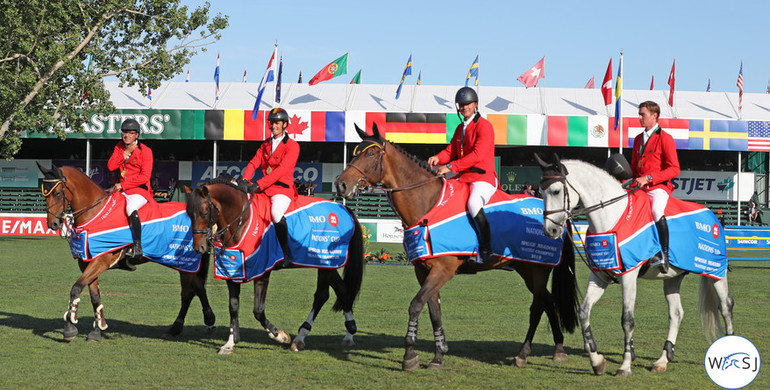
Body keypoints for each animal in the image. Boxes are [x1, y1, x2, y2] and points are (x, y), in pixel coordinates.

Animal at [36, 163, 213, 342]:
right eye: (44, 193)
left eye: (58, 193)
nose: (52, 224)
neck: (96, 213)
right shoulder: (87, 264)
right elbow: (95, 297)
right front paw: (97, 331)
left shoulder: (100, 262)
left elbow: (76, 288)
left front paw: (69, 328)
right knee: (193, 289)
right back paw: (183, 326)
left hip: (186, 262)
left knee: (192, 290)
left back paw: (203, 320)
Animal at [186, 178, 366, 354]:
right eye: (188, 214)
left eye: (204, 213)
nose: (199, 247)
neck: (243, 220)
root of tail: (344, 208)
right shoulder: (232, 271)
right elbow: (233, 307)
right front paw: (230, 343)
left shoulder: (262, 273)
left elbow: (258, 311)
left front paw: (280, 335)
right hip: (325, 265)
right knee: (339, 291)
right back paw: (339, 333)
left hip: (326, 263)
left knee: (325, 295)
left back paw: (313, 335)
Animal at [332, 123, 580, 370]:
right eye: (354, 152)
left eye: (371, 154)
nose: (340, 185)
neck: (428, 204)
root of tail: (556, 214)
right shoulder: (424, 271)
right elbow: (434, 311)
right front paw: (438, 356)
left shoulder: (443, 270)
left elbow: (416, 305)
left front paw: (409, 355)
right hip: (527, 269)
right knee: (548, 301)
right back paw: (558, 349)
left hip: (538, 269)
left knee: (538, 306)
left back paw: (523, 354)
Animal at [536, 154, 732, 376]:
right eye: (540, 192)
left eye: (556, 191)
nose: (550, 231)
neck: (612, 217)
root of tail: (712, 215)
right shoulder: (600, 276)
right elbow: (584, 312)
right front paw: (597, 361)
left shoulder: (629, 276)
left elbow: (627, 320)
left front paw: (625, 366)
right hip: (673, 277)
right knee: (676, 314)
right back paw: (662, 360)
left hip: (716, 271)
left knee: (726, 307)